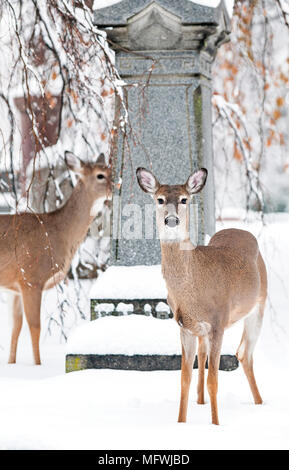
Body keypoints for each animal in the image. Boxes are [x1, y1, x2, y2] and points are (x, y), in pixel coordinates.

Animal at [2, 152, 111, 366]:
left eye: (110, 170)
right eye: (100, 175)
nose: (116, 186)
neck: (58, 232)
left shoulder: (14, 286)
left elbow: (15, 328)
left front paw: (11, 364)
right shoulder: (31, 278)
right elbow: (35, 327)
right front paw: (38, 365)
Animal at [136, 166, 266, 426]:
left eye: (184, 199)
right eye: (160, 199)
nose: (171, 220)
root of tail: (240, 229)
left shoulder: (218, 322)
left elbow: (214, 381)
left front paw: (215, 425)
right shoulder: (183, 326)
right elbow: (184, 378)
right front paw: (181, 423)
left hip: (259, 304)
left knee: (244, 353)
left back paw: (260, 404)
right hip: (203, 330)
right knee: (210, 355)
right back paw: (201, 402)